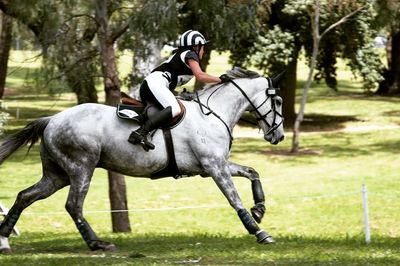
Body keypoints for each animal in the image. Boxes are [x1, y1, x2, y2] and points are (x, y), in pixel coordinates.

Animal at [0, 66, 284, 251]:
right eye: (279, 101)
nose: (279, 135)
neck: (213, 113)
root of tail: (52, 119)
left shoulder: (216, 166)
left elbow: (252, 172)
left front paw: (259, 209)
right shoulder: (215, 167)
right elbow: (234, 199)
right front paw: (259, 231)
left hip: (57, 175)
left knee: (25, 196)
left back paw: (4, 240)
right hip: (81, 168)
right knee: (73, 205)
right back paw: (96, 243)